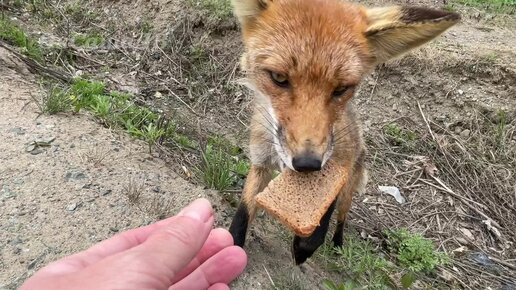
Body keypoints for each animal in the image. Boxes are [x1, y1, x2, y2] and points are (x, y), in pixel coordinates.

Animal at [229, 0, 460, 264]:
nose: (308, 164)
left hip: (349, 188)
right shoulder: (260, 163)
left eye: (341, 89)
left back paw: (338, 244)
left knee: (341, 218)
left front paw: (303, 248)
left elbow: (321, 225)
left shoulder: (336, 174)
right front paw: (231, 245)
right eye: (278, 77)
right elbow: (243, 214)